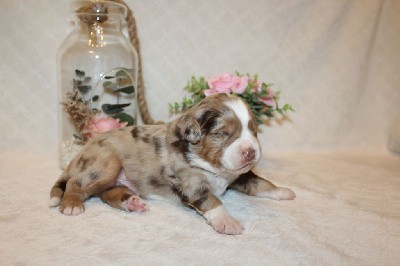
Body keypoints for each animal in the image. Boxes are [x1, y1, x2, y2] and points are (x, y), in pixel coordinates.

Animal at [50, 93, 296, 235]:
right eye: (222, 133)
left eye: (253, 130)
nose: (251, 151)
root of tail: (81, 152)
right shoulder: (192, 184)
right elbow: (212, 200)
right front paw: (227, 222)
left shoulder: (240, 174)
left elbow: (260, 182)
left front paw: (283, 191)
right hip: (105, 163)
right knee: (75, 183)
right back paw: (71, 205)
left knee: (108, 193)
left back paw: (133, 203)